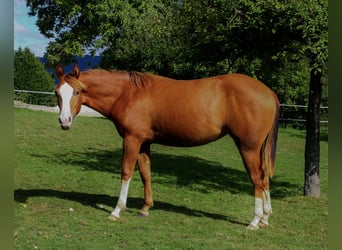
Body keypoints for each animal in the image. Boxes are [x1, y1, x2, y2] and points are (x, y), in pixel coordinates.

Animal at [54, 63, 280, 229]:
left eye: (76, 92)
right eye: (57, 92)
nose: (64, 121)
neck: (128, 93)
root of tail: (269, 93)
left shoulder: (132, 139)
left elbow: (126, 172)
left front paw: (117, 210)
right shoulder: (144, 142)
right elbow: (145, 173)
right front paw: (145, 208)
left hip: (248, 148)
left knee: (257, 179)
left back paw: (254, 220)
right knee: (264, 178)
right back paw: (265, 218)